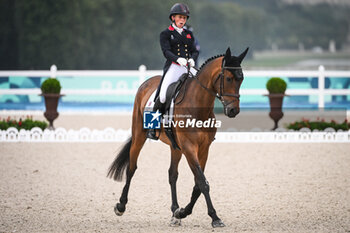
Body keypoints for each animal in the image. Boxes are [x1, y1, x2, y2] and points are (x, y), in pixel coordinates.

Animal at [108, 46, 247, 228]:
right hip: (139, 135)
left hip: (175, 147)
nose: (233, 111)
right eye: (229, 78)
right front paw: (215, 217)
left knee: (172, 174)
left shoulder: (203, 149)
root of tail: (147, 82)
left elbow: (198, 184)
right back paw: (121, 205)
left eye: (241, 79)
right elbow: (202, 182)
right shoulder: (189, 148)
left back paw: (174, 212)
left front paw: (182, 212)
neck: (198, 105)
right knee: (132, 168)